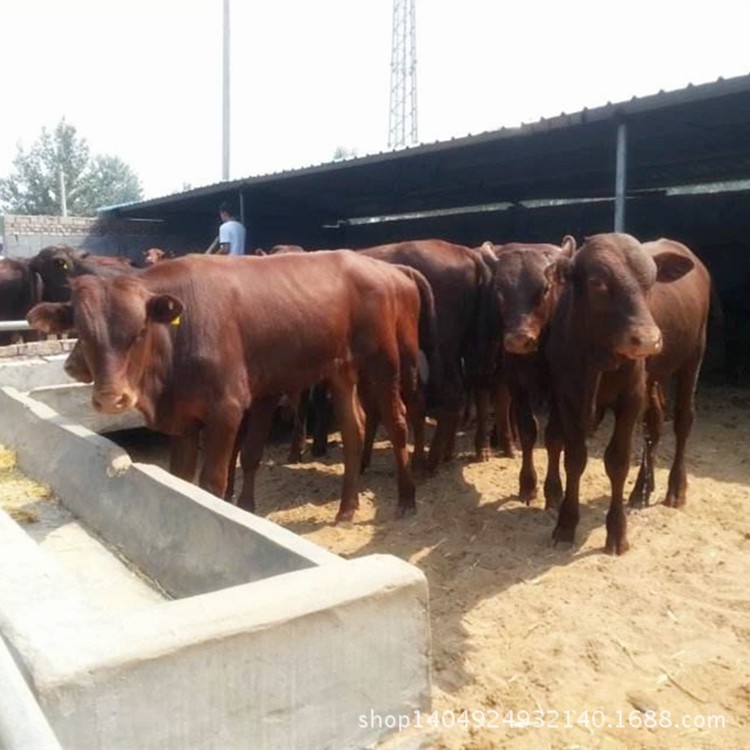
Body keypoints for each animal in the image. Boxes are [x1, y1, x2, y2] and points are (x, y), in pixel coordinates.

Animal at [27, 253, 434, 524]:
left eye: (140, 330)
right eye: (81, 331)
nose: (112, 398)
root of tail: (384, 266)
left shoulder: (227, 410)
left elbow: (214, 478)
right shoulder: (185, 418)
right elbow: (182, 478)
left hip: (387, 363)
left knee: (398, 423)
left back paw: (407, 499)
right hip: (340, 370)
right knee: (354, 430)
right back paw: (347, 508)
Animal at [544, 235, 696, 560]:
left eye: (651, 281)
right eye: (596, 281)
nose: (648, 340)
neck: (595, 357)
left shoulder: (630, 398)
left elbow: (617, 461)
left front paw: (616, 532)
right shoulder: (566, 397)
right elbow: (574, 458)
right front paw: (565, 525)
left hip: (692, 359)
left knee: (682, 422)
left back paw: (675, 488)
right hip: (654, 378)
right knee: (654, 424)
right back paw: (641, 491)